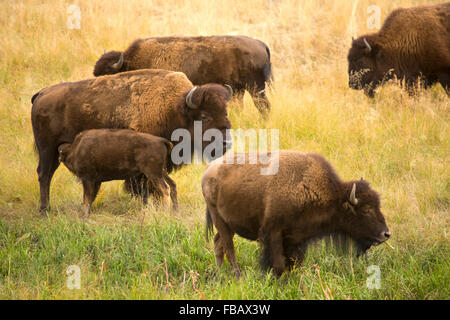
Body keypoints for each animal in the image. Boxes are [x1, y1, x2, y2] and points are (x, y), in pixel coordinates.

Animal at [30, 69, 232, 214]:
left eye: (225, 112)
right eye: (204, 116)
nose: (225, 143)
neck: (173, 108)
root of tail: (42, 93)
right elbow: (142, 184)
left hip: (55, 151)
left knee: (47, 174)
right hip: (47, 149)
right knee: (44, 174)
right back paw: (44, 210)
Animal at [201, 151, 390, 278]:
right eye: (366, 210)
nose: (386, 234)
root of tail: (209, 170)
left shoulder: (297, 239)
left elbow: (295, 263)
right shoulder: (273, 233)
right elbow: (278, 264)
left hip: (229, 223)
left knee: (218, 243)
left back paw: (220, 272)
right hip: (220, 220)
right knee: (228, 248)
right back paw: (237, 275)